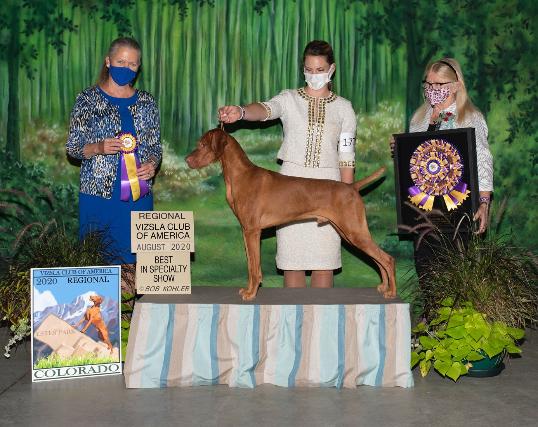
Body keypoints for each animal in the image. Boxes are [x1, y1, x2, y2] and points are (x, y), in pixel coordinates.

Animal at [185, 128, 396, 301]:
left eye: (202, 144)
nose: (187, 160)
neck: (240, 176)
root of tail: (352, 187)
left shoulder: (253, 231)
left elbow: (254, 267)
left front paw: (251, 293)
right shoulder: (246, 231)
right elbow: (250, 264)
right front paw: (249, 289)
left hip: (354, 232)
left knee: (387, 259)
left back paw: (392, 292)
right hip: (351, 233)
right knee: (378, 259)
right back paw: (384, 286)